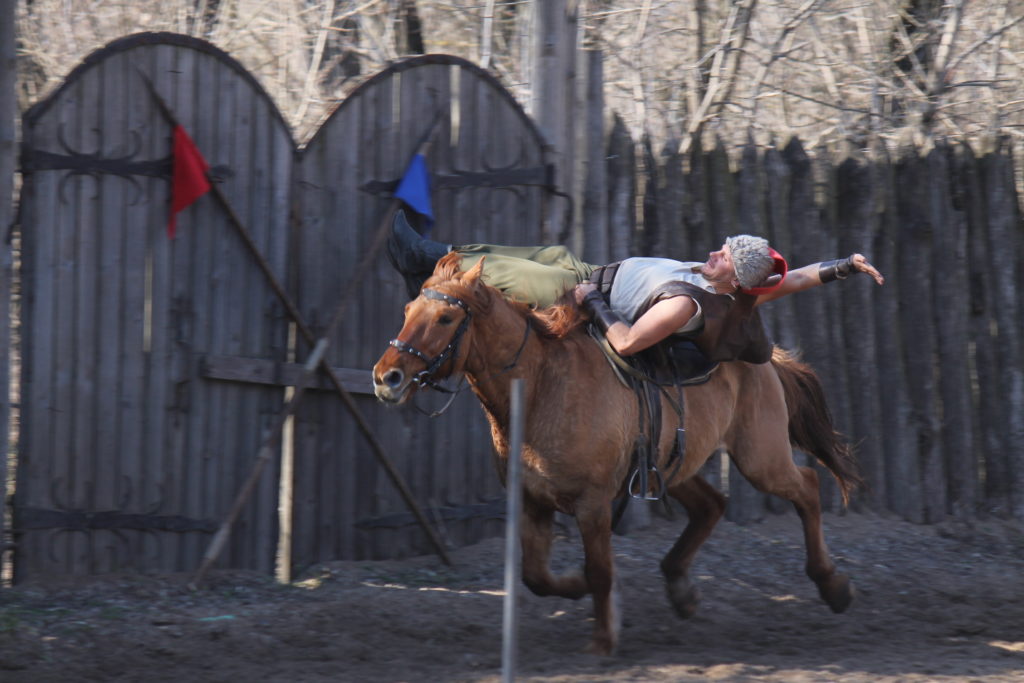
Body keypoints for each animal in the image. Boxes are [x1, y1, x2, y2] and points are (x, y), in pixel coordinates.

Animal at [372, 252, 860, 655]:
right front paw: (576, 588)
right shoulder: (531, 500)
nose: (386, 377)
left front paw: (604, 638)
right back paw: (681, 589)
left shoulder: (592, 504)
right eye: (407, 312)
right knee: (712, 504)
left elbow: (600, 570)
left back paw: (832, 585)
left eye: (445, 317)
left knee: (806, 487)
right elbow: (536, 576)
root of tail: (768, 360)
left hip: (761, 458)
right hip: (671, 466)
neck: (543, 386)